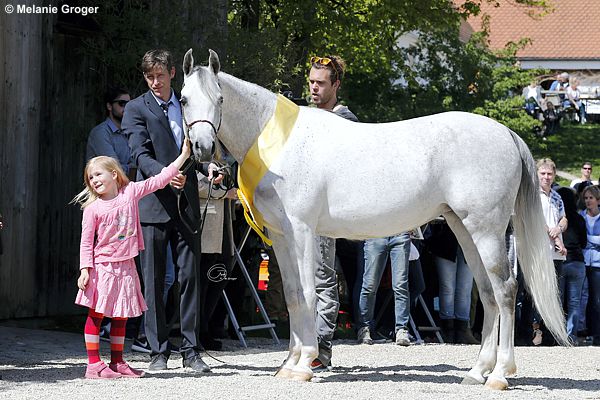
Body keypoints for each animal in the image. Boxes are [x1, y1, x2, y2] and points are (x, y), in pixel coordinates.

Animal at [182, 48, 568, 390]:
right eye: (184, 99)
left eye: (219, 99)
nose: (201, 148)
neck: (279, 144)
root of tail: (506, 134)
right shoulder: (280, 235)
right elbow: (292, 295)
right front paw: (289, 364)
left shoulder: (303, 231)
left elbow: (307, 293)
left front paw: (304, 364)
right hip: (463, 229)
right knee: (488, 293)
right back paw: (477, 372)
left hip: (486, 230)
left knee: (505, 291)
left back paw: (500, 375)